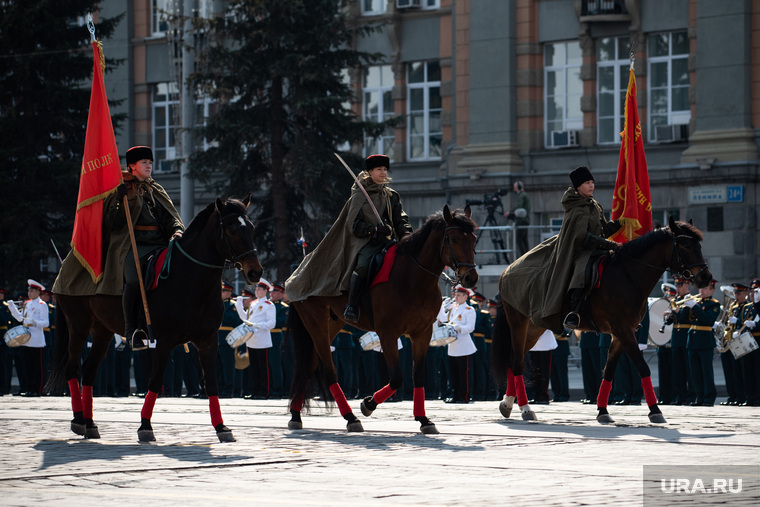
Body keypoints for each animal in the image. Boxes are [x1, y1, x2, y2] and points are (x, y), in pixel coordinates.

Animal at [48, 196, 262, 442]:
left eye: (252, 228)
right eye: (232, 230)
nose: (255, 272)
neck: (191, 279)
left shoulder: (208, 340)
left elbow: (211, 383)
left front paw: (221, 427)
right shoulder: (165, 340)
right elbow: (156, 381)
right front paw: (145, 426)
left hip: (102, 331)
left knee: (89, 371)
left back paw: (90, 423)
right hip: (79, 325)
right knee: (72, 368)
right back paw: (78, 420)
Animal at [284, 204, 476, 434]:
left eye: (474, 239)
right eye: (454, 239)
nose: (471, 278)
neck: (413, 278)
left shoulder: (423, 333)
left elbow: (418, 375)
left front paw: (424, 419)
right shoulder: (387, 333)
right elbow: (397, 378)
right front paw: (368, 404)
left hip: (330, 325)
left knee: (309, 366)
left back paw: (296, 414)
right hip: (317, 325)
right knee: (328, 371)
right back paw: (350, 417)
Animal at [492, 218, 712, 424]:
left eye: (700, 246)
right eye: (685, 245)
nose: (706, 277)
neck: (629, 275)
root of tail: (506, 271)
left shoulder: (621, 333)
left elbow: (608, 371)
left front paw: (603, 411)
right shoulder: (623, 330)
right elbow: (642, 367)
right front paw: (655, 410)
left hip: (534, 328)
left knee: (513, 359)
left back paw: (507, 404)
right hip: (519, 323)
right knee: (517, 362)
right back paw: (525, 408)